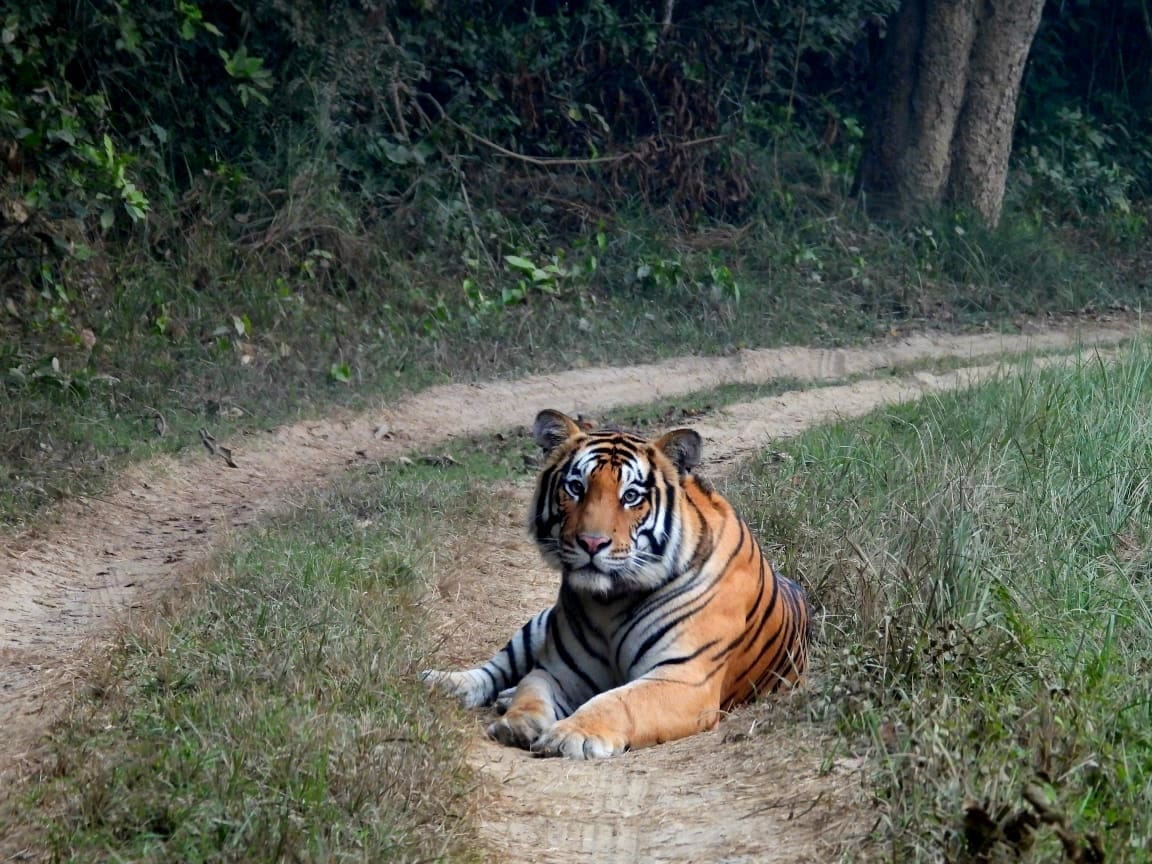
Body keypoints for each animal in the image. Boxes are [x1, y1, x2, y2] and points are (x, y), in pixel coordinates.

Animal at [422, 408, 811, 759]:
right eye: (575, 488)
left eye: (631, 496)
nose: (591, 543)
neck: (609, 602)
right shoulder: (557, 670)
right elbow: (531, 692)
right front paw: (518, 724)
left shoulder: (683, 677)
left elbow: (617, 701)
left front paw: (570, 735)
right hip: (538, 625)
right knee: (497, 668)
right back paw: (445, 683)